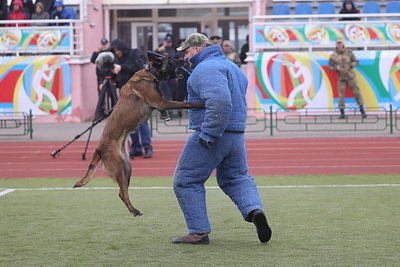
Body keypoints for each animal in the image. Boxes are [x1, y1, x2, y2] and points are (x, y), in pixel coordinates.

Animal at [73, 51, 203, 217]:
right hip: (121, 168)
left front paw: (165, 116)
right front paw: (200, 103)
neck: (151, 73)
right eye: (172, 60)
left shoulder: (160, 103)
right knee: (123, 194)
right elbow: (184, 103)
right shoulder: (161, 101)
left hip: (127, 167)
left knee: (122, 192)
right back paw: (135, 211)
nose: (185, 60)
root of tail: (99, 149)